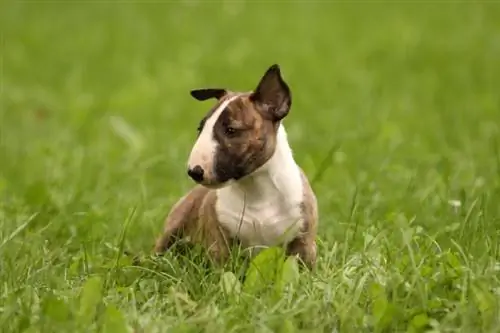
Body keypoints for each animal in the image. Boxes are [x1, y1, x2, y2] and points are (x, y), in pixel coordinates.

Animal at [152, 63, 318, 268]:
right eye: (200, 128)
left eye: (231, 130)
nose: (194, 172)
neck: (256, 190)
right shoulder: (220, 246)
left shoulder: (304, 243)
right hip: (173, 228)